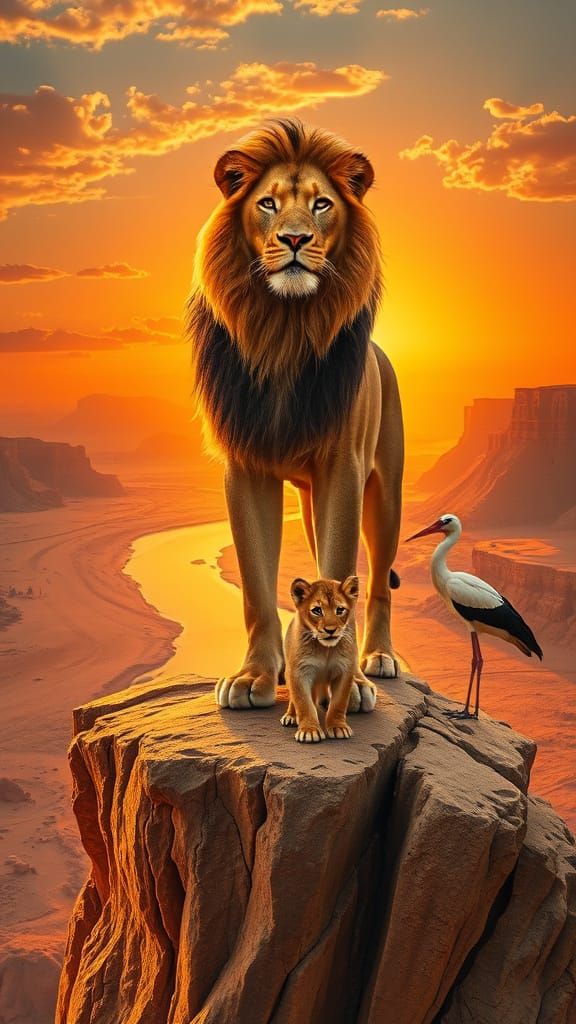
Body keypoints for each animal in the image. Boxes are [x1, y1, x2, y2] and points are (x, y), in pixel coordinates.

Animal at [187, 117, 404, 712]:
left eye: (322, 203)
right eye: (267, 203)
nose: (295, 240)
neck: (284, 327)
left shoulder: (343, 468)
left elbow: (343, 569)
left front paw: (349, 684)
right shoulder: (245, 467)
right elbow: (258, 589)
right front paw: (255, 677)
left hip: (385, 492)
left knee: (378, 581)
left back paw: (379, 657)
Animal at [281, 575, 360, 743]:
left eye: (340, 610)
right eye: (317, 610)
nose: (330, 630)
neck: (326, 650)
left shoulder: (345, 671)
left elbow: (338, 703)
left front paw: (338, 727)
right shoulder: (299, 671)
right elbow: (303, 703)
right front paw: (309, 731)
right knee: (294, 699)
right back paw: (291, 716)